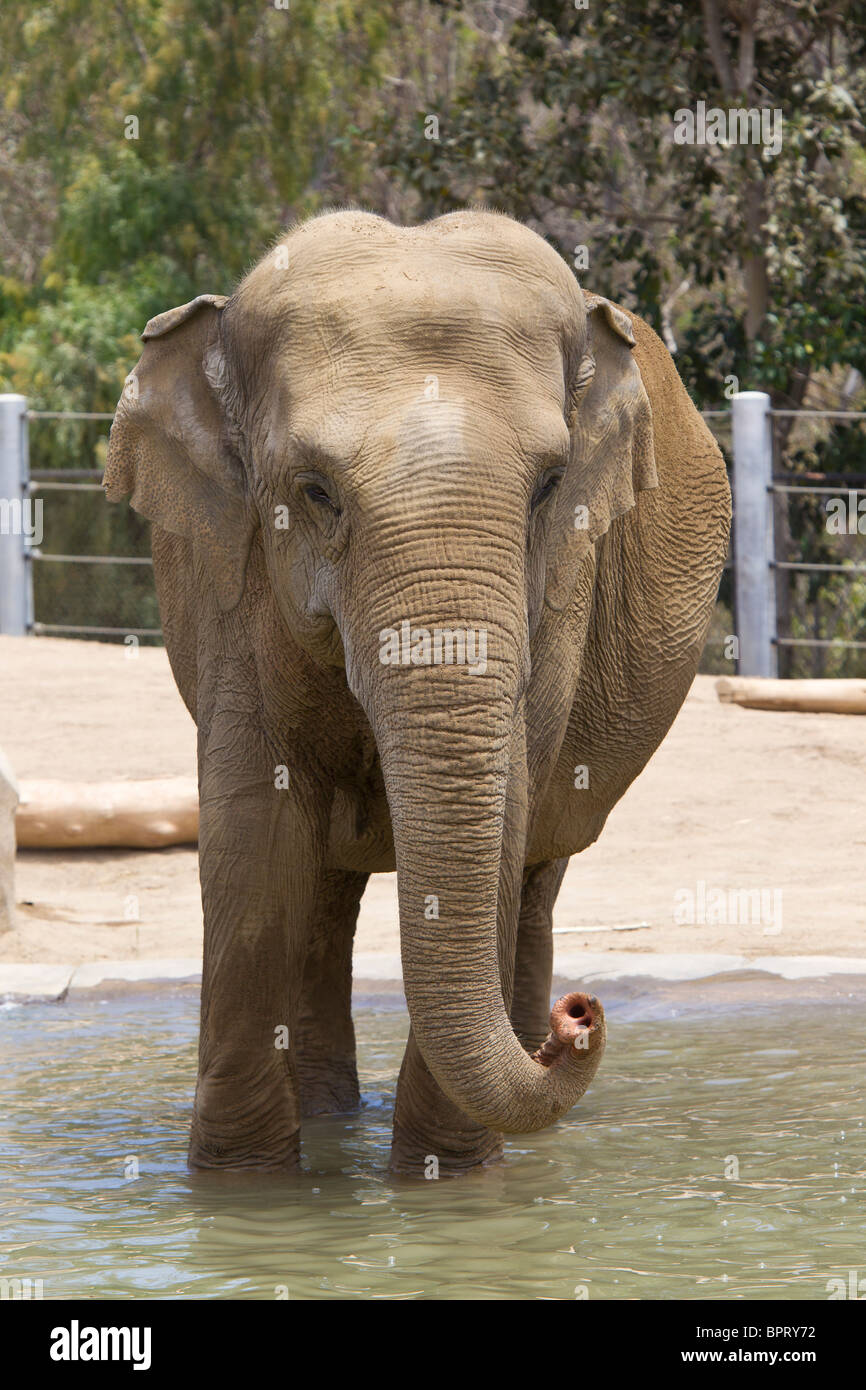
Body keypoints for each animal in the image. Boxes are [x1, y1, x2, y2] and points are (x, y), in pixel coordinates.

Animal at [104, 211, 733, 1178]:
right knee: (323, 887)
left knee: (535, 875)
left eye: (550, 487)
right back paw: (338, 1115)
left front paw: (449, 1185)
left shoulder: (564, 582)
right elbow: (254, 824)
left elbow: (506, 810)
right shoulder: (233, 571)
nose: (582, 1016)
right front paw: (244, 1190)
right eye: (313, 492)